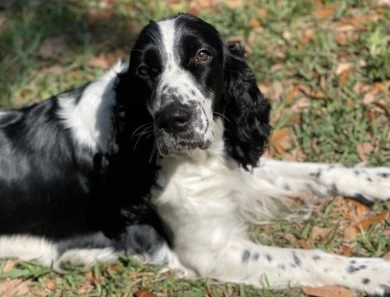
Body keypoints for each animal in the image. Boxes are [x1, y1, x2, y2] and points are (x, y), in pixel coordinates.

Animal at [0, 12, 390, 294]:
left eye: (202, 54)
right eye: (144, 69)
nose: (174, 119)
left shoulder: (231, 167)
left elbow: (319, 171)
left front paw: (381, 179)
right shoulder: (211, 251)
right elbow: (305, 258)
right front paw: (378, 272)